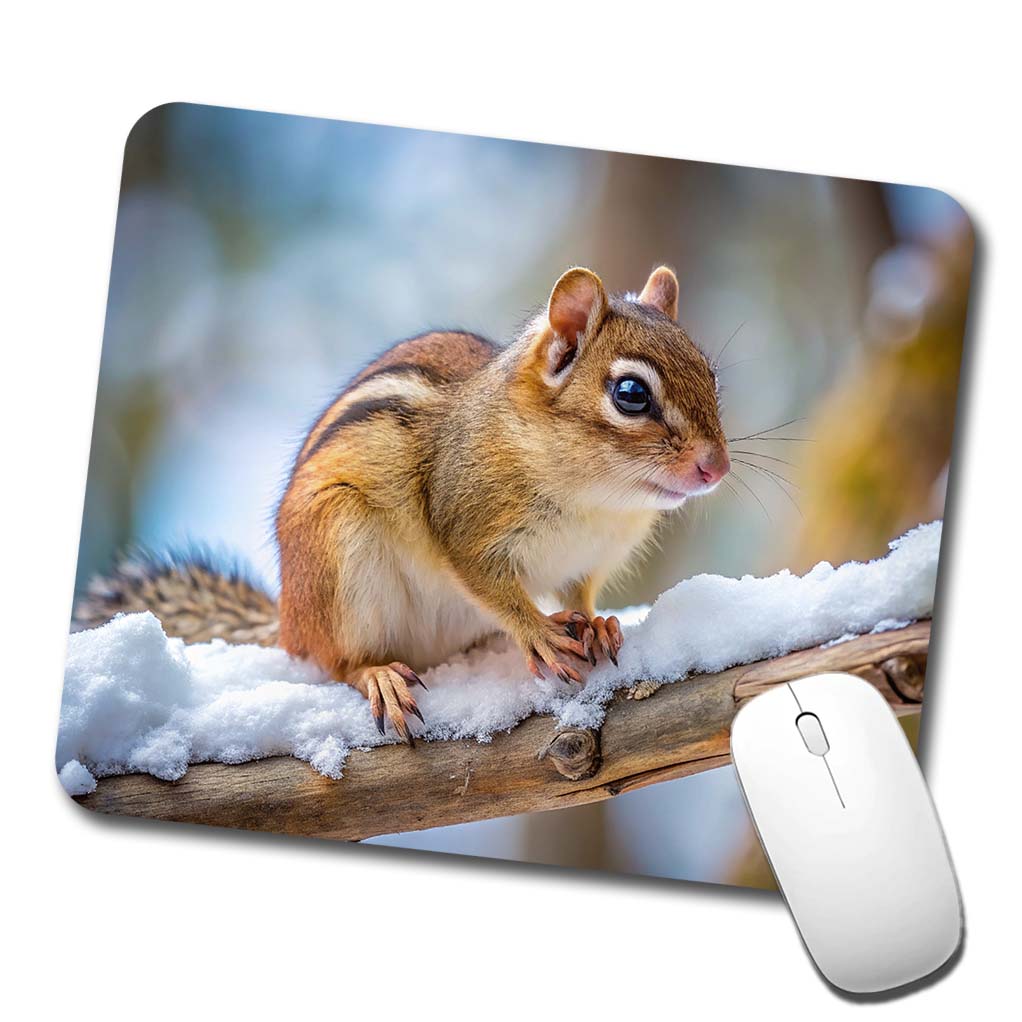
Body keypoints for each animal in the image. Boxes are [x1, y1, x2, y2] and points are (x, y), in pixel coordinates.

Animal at [74, 266, 730, 743]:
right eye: (631, 394)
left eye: (710, 376)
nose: (717, 467)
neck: (599, 498)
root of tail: (288, 619)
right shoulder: (465, 523)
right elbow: (492, 586)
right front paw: (537, 633)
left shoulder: (590, 559)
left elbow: (579, 593)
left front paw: (595, 621)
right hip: (338, 554)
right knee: (334, 660)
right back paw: (379, 675)